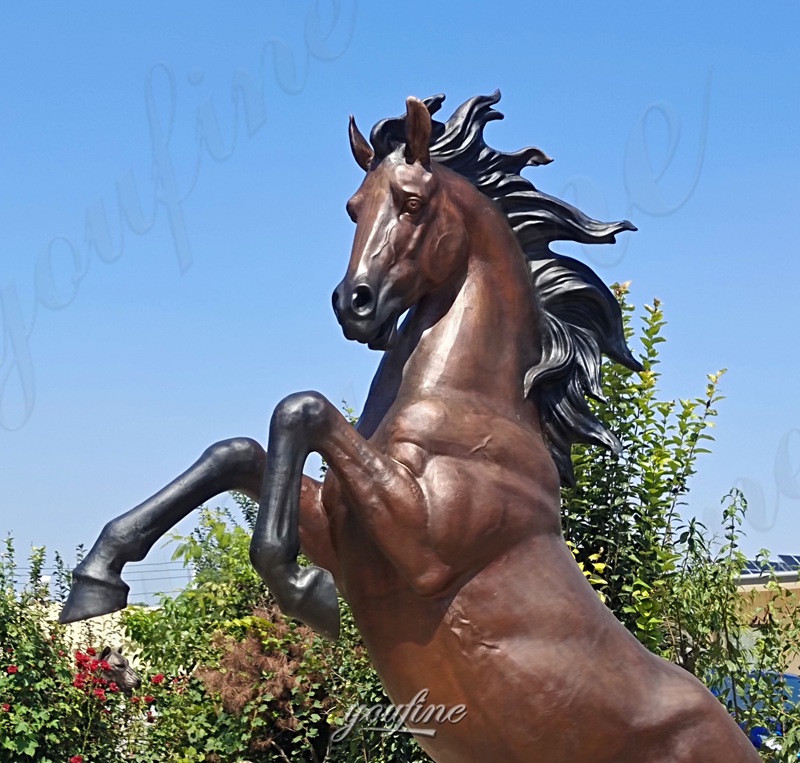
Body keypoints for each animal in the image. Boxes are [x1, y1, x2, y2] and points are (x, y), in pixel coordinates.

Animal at [59, 92, 760, 760]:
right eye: (352, 207)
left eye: (413, 202)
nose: (354, 304)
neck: (467, 407)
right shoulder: (342, 530)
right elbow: (237, 450)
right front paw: (95, 581)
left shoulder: (424, 545)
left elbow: (303, 407)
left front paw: (304, 593)